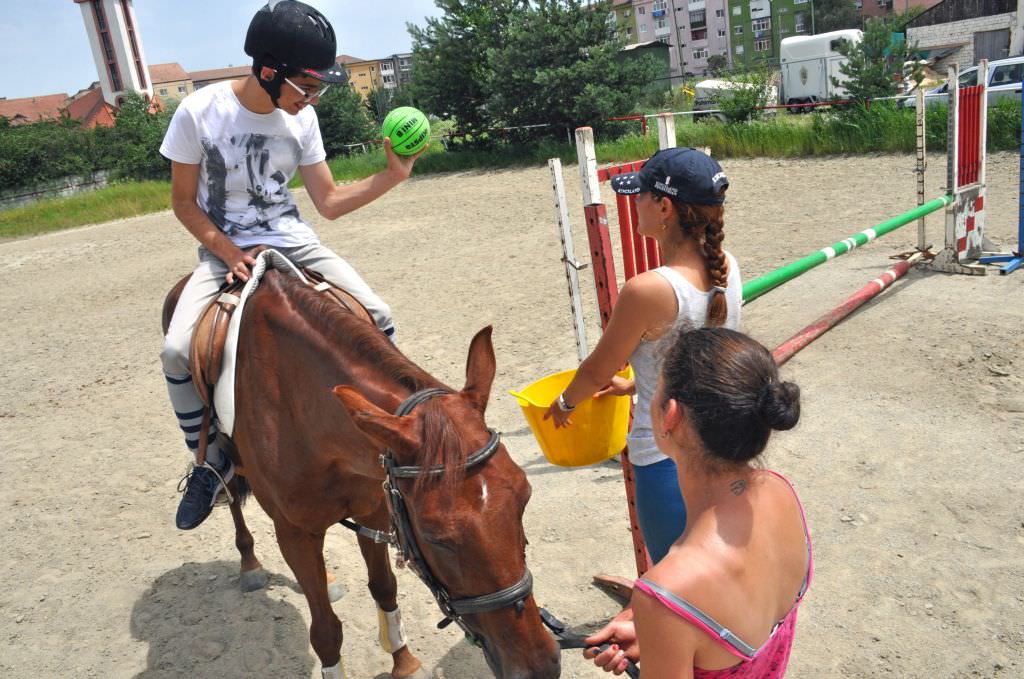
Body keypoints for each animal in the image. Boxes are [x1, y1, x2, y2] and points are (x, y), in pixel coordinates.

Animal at [162, 268, 561, 675]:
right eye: (436, 538)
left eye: (524, 499)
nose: (541, 667)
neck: (298, 402)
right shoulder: (294, 533)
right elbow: (325, 631)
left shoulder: (375, 509)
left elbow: (384, 588)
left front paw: (403, 661)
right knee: (231, 497)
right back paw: (250, 564)